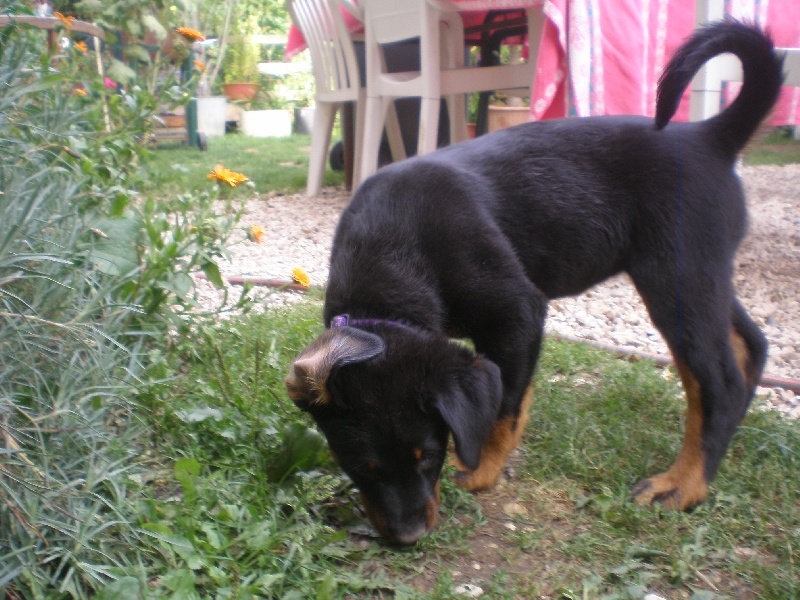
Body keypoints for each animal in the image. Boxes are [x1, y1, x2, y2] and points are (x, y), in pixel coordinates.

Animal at [286, 21, 780, 548]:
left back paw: (683, 485)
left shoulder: (518, 311)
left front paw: (481, 471)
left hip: (676, 274)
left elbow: (505, 406)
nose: (407, 536)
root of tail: (710, 136)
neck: (393, 250)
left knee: (718, 379)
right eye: (360, 467)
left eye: (430, 456)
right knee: (748, 346)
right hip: (701, 272)